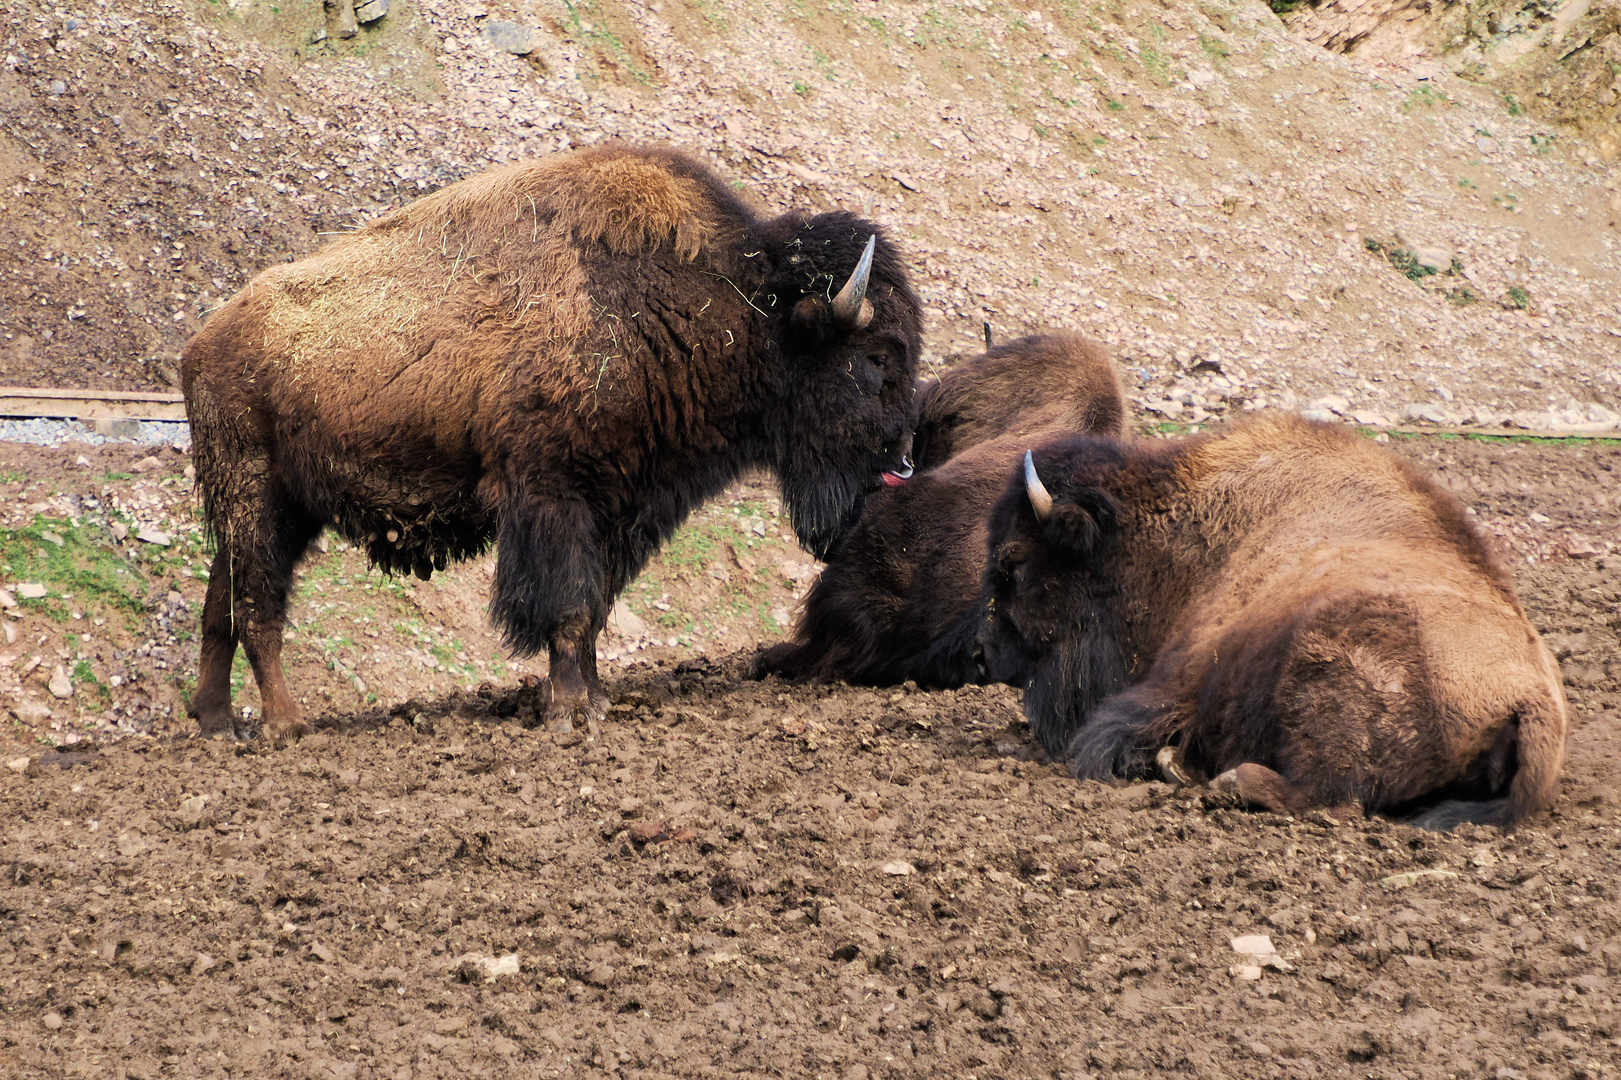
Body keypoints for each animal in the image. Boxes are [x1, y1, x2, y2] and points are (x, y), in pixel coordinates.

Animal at [182, 142, 920, 736]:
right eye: (875, 358)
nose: (902, 462)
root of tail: (202, 342)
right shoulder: (554, 495)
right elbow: (566, 606)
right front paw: (567, 715)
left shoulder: (622, 509)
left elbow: (594, 608)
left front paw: (594, 701)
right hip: (255, 495)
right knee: (257, 604)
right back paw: (285, 725)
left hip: (275, 507)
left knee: (222, 601)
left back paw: (216, 722)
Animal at [979, 411, 1562, 823]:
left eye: (1016, 562)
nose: (987, 654)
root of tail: (1532, 704)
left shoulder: (1180, 679)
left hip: (1324, 656)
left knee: (1333, 797)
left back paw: (1226, 781)